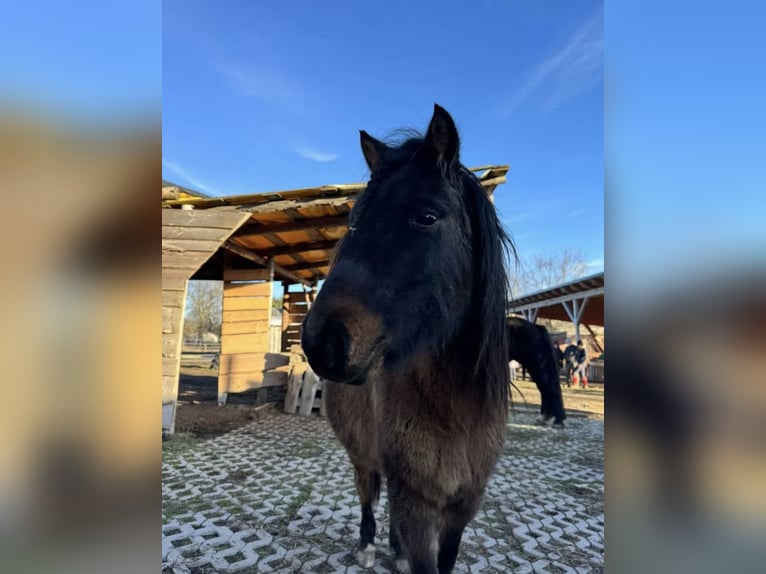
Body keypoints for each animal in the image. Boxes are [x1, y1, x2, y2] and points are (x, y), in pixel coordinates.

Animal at [304, 104, 512, 574]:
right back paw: (368, 547)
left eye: (427, 217)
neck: (457, 411)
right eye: (353, 222)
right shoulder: (417, 502)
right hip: (362, 458)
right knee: (368, 497)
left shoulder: (462, 507)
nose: (322, 341)